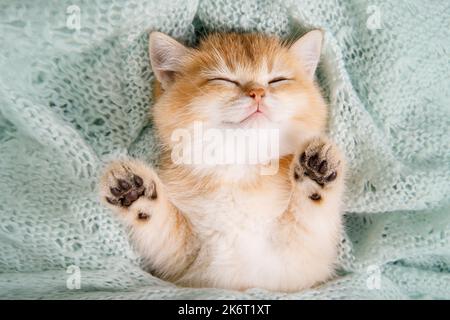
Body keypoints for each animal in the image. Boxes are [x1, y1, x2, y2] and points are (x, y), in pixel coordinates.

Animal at [100, 30, 346, 292]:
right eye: (223, 80)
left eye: (277, 80)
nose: (258, 92)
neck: (239, 168)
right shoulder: (182, 265)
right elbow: (163, 228)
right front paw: (135, 193)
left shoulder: (302, 263)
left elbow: (308, 217)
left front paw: (317, 171)